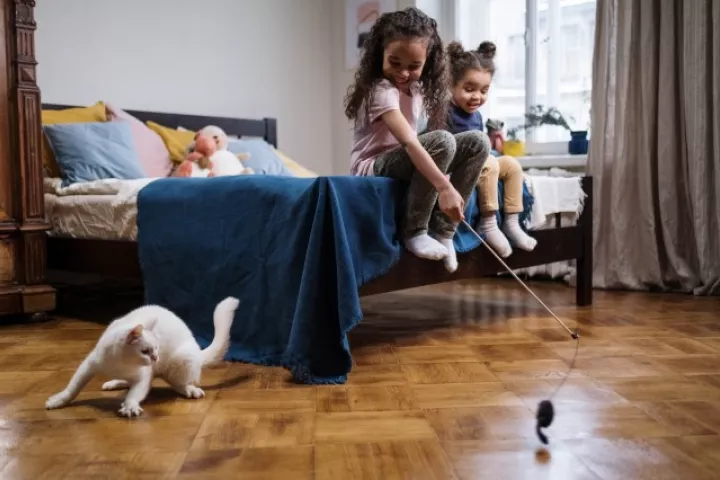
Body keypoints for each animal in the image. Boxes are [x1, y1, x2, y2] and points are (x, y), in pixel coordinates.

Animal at [46, 296, 240, 416]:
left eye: (157, 348)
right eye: (146, 351)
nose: (156, 358)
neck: (121, 364)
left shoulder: (143, 376)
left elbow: (135, 392)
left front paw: (130, 405)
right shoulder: (88, 365)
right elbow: (73, 387)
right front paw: (58, 400)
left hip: (182, 360)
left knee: (180, 383)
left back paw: (190, 390)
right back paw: (114, 383)